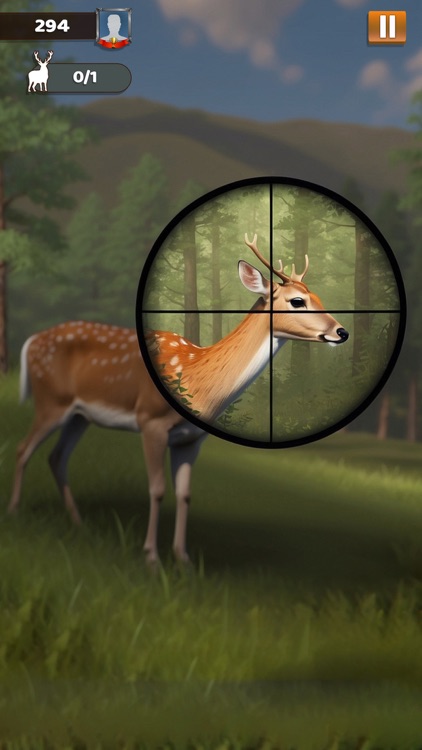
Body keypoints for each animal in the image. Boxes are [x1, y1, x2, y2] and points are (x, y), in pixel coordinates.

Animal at [8, 234, 348, 566]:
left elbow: (185, 493)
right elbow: (157, 489)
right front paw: (151, 557)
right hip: (52, 401)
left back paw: (78, 523)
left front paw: (183, 558)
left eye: (319, 297)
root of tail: (30, 341)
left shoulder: (192, 438)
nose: (341, 331)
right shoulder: (150, 420)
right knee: (23, 448)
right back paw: (14, 512)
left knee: (57, 457)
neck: (199, 384)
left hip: (79, 415)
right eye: (297, 301)